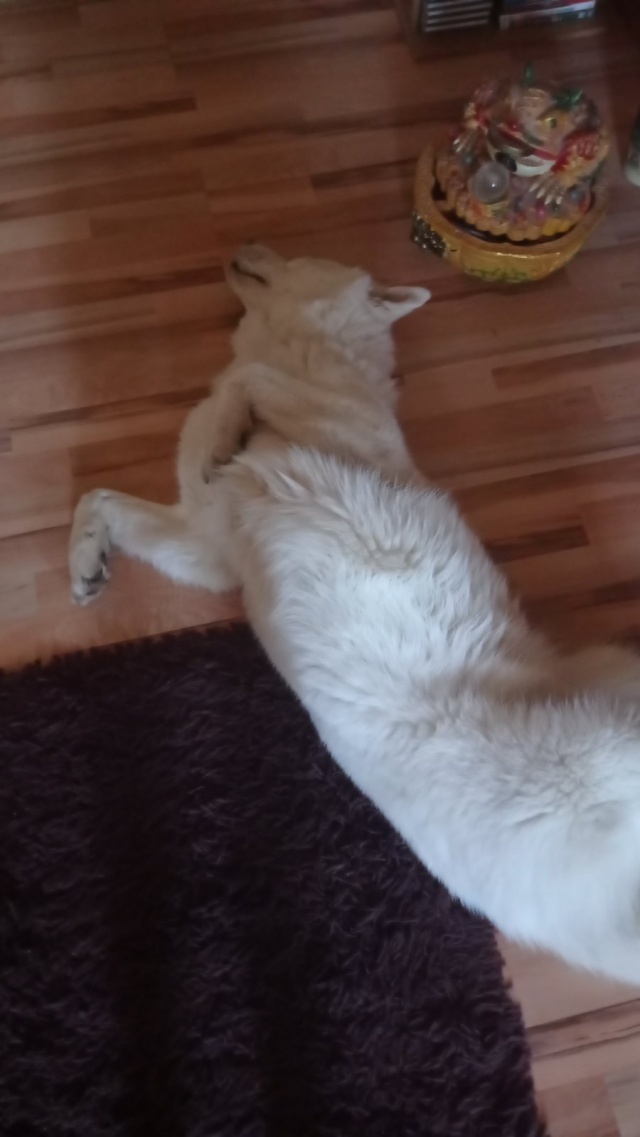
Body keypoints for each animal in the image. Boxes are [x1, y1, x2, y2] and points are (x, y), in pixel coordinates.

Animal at [70, 244, 640, 986]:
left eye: (295, 253)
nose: (244, 244)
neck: (315, 356)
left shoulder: (318, 438)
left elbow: (249, 381)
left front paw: (229, 427)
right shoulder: (206, 546)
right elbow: (101, 498)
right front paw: (85, 559)